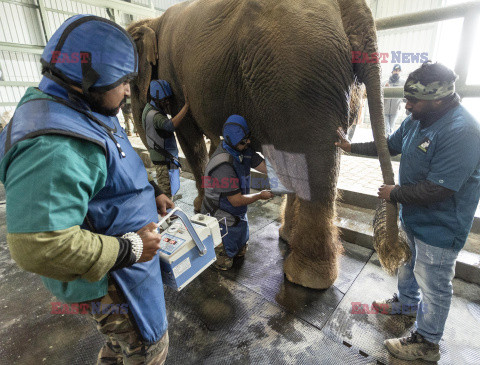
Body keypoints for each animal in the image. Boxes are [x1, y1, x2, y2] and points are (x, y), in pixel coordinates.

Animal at [126, 0, 398, 290]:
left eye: (130, 82)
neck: (153, 22)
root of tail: (355, 10)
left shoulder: (175, 83)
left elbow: (188, 135)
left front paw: (200, 208)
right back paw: (287, 238)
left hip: (300, 78)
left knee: (315, 169)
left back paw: (304, 278)